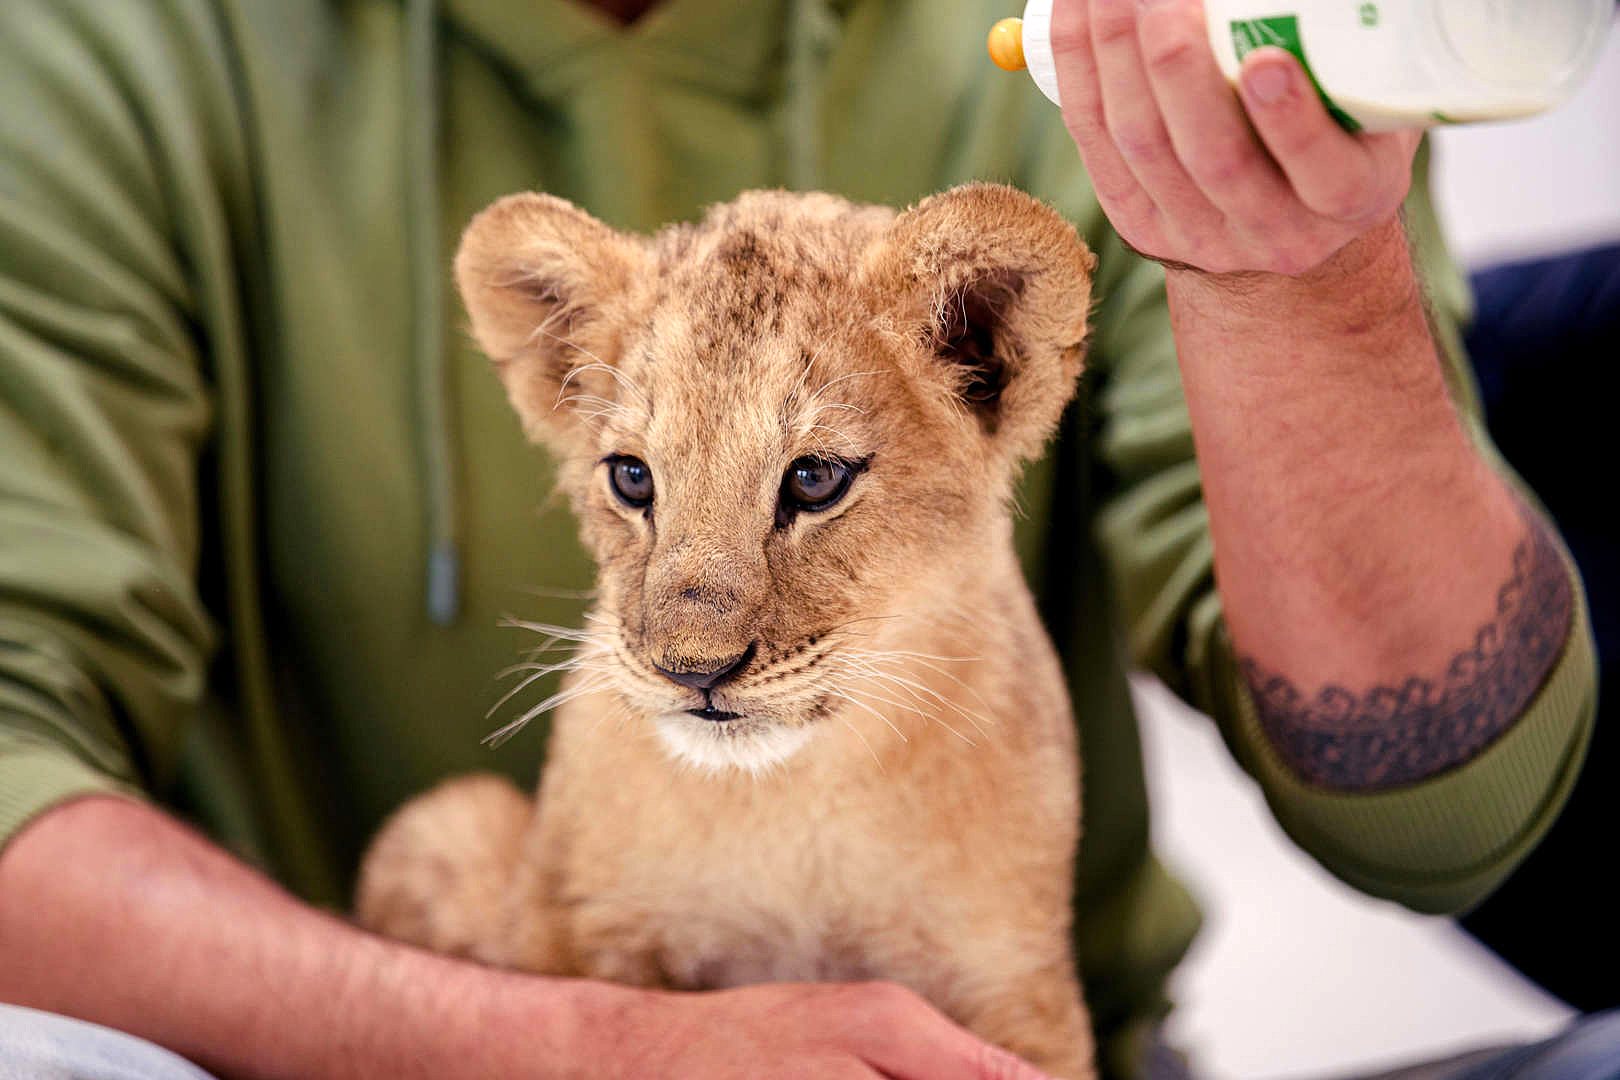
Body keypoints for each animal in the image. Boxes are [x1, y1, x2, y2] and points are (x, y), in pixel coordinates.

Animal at [356, 183, 1098, 1078]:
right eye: (631, 477)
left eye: (814, 479)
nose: (693, 671)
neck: (792, 803)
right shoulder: (555, 920)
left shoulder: (1019, 982)